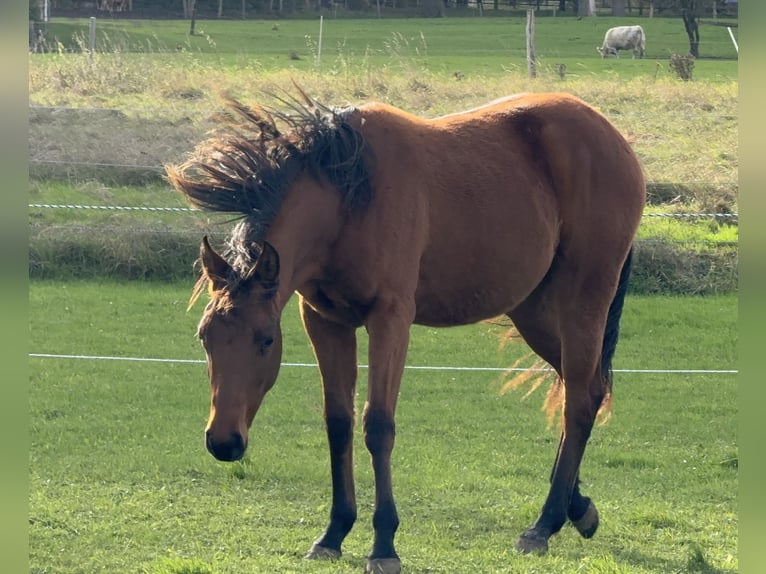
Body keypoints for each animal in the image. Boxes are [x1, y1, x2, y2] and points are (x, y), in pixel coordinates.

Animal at [166, 89, 645, 573]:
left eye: (265, 340)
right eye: (205, 338)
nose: (223, 442)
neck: (348, 198)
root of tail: (609, 134)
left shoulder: (390, 318)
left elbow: (377, 425)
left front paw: (384, 543)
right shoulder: (325, 321)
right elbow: (338, 422)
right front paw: (334, 532)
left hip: (583, 299)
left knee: (580, 402)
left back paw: (544, 525)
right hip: (534, 311)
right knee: (582, 389)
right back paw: (576, 509)